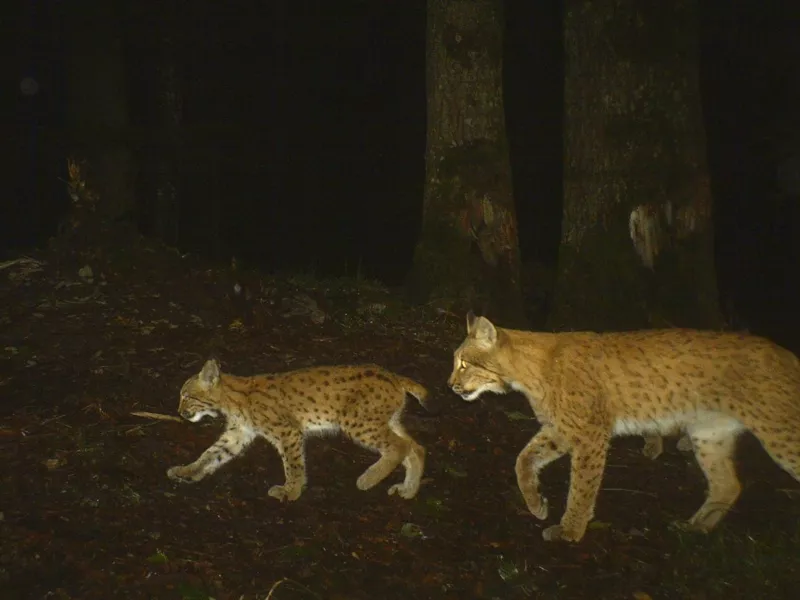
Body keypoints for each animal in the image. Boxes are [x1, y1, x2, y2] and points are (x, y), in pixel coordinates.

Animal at [170, 356, 432, 502]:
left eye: (186, 396)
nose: (179, 412)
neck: (231, 400)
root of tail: (393, 375)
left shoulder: (288, 431)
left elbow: (293, 463)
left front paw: (291, 492)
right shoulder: (238, 434)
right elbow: (211, 453)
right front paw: (188, 471)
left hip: (357, 422)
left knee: (400, 445)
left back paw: (368, 479)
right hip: (385, 420)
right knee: (416, 447)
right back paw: (408, 490)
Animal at [446, 314, 796, 544]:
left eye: (463, 363)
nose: (450, 386)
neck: (525, 374)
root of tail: (788, 354)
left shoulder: (590, 434)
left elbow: (582, 486)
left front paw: (571, 530)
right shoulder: (561, 428)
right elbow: (523, 460)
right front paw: (537, 504)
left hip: (779, 433)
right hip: (709, 434)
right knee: (728, 485)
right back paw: (695, 528)